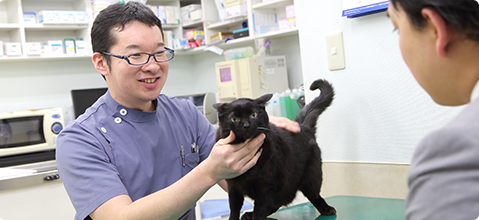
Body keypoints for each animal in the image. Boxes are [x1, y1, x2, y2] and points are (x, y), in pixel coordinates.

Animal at [214, 79, 338, 220]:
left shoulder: (266, 187)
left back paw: (326, 209)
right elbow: (234, 208)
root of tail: (303, 127)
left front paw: (256, 216)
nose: (246, 125)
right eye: (234, 119)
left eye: (253, 115)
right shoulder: (233, 186)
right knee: (275, 205)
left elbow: (260, 210)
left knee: (314, 195)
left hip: (311, 176)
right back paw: (249, 214)